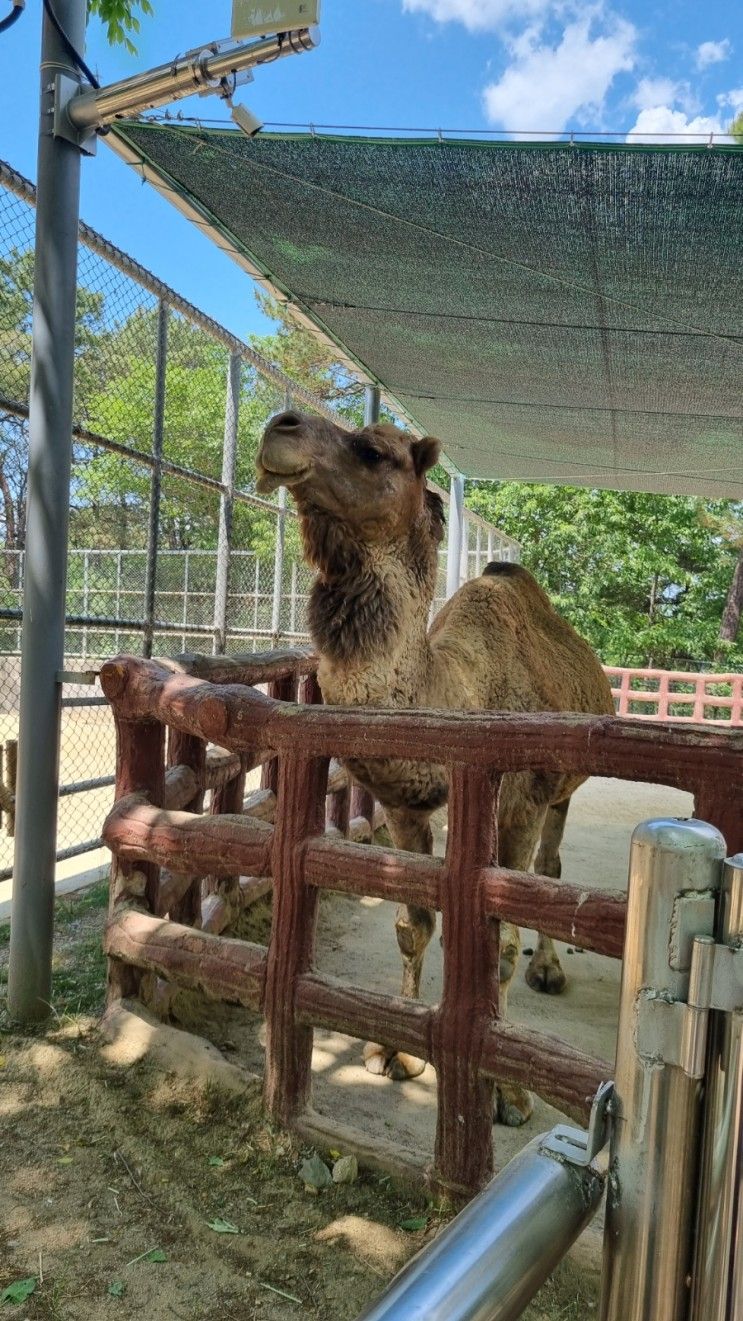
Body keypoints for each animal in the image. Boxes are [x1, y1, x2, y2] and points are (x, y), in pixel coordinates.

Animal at [256, 409, 613, 1125]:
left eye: (373, 451)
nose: (279, 425)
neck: (455, 690)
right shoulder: (403, 803)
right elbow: (413, 924)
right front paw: (394, 1050)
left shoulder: (519, 803)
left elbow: (497, 942)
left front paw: (508, 1094)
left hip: (561, 791)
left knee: (551, 871)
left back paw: (550, 971)